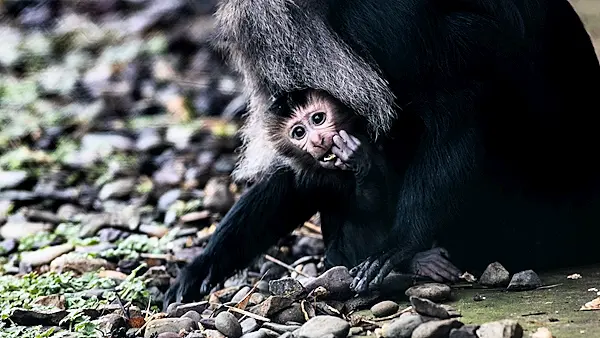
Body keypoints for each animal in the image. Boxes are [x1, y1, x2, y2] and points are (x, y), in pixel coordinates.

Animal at [163, 0, 600, 306]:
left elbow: (459, 102)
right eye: (299, 129)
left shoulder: (385, 22)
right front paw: (203, 264)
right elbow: (300, 178)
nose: (316, 140)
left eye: (317, 116)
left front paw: (400, 244)